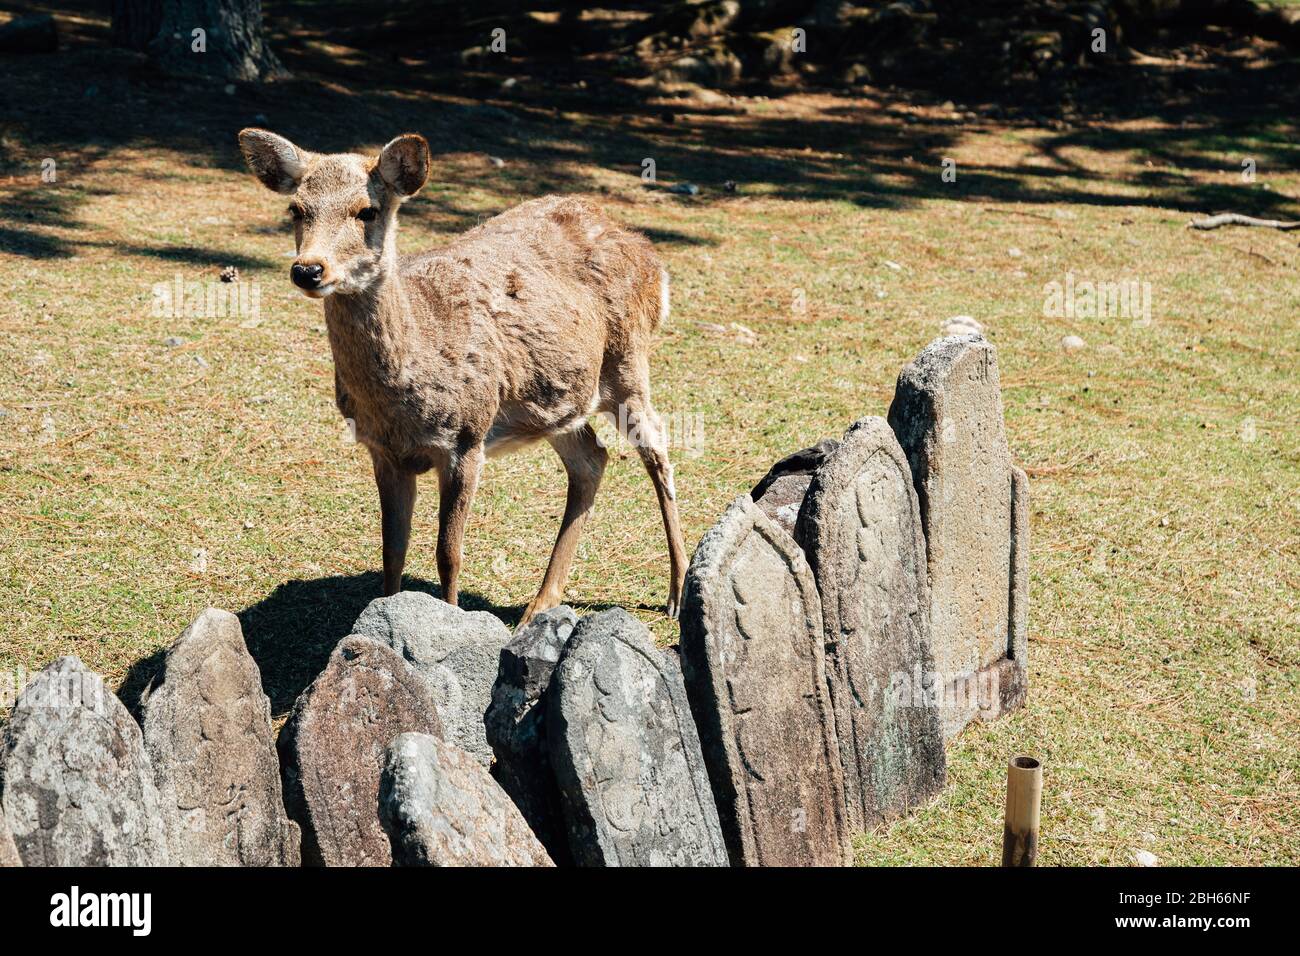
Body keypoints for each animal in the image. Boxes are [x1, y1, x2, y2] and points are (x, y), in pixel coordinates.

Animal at [240, 128, 691, 629]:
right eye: (296, 209)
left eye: (367, 210)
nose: (309, 269)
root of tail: (647, 253)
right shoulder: (382, 450)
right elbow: (392, 549)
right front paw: (380, 618)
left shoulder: (467, 438)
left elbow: (448, 554)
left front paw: (451, 618)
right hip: (557, 400)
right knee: (592, 458)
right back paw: (540, 604)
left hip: (628, 360)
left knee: (657, 447)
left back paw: (676, 591)